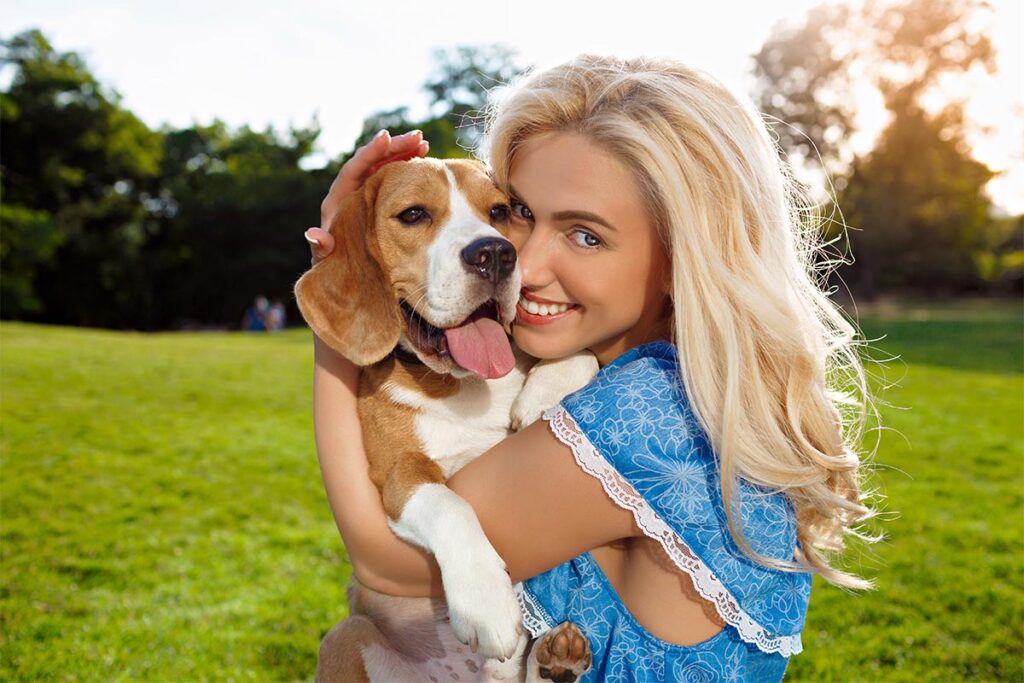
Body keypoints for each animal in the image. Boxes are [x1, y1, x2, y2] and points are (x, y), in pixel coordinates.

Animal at [294, 157, 598, 679]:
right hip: (345, 635)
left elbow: (586, 352)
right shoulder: (400, 474)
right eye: (414, 214)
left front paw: (545, 391)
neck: (467, 385)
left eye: (500, 211)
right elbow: (450, 505)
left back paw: (557, 660)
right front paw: (486, 603)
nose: (494, 253)